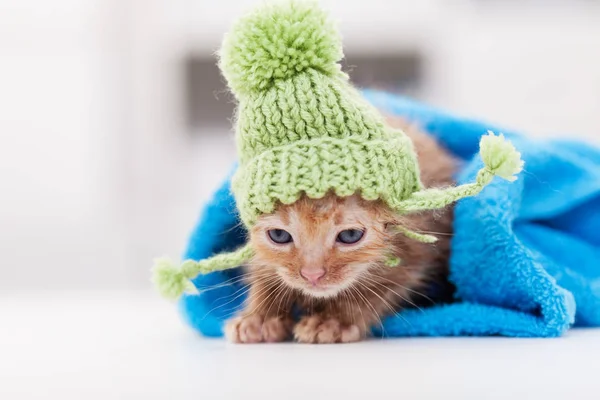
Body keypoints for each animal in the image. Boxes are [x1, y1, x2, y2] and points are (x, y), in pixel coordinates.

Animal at [224, 116, 454, 344]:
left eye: (350, 235)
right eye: (279, 235)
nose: (312, 275)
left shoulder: (414, 251)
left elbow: (381, 288)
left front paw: (333, 320)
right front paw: (259, 317)